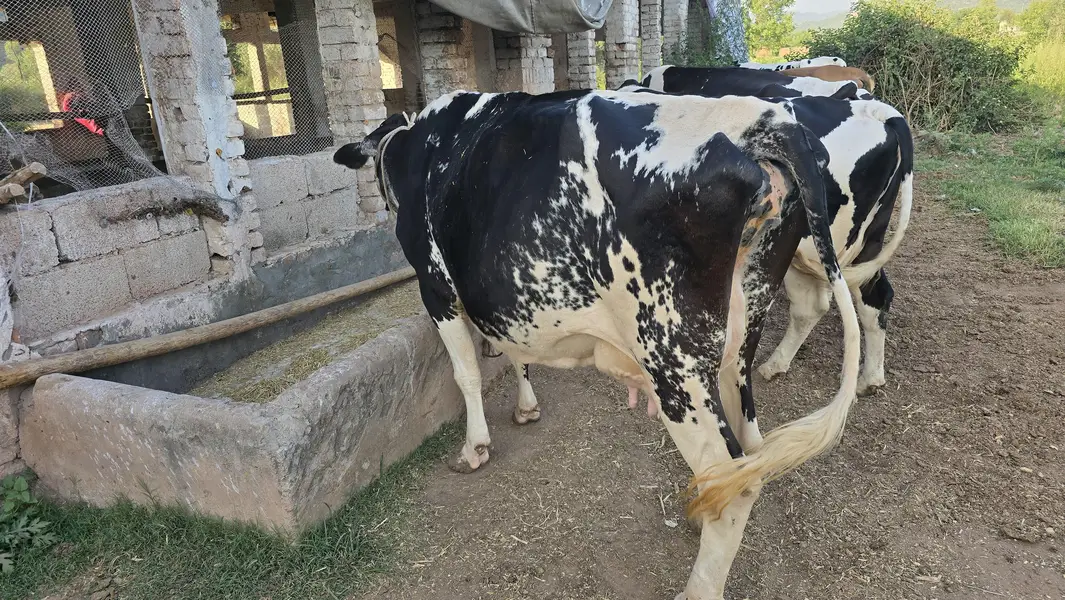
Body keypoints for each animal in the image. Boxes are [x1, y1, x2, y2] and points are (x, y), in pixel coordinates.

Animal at [333, 89, 862, 600]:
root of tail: (765, 120)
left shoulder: (436, 287)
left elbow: (466, 374)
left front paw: (474, 448)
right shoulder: (506, 300)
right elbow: (516, 356)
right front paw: (526, 407)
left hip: (673, 359)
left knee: (732, 476)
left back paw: (697, 587)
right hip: (740, 337)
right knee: (749, 454)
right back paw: (701, 506)